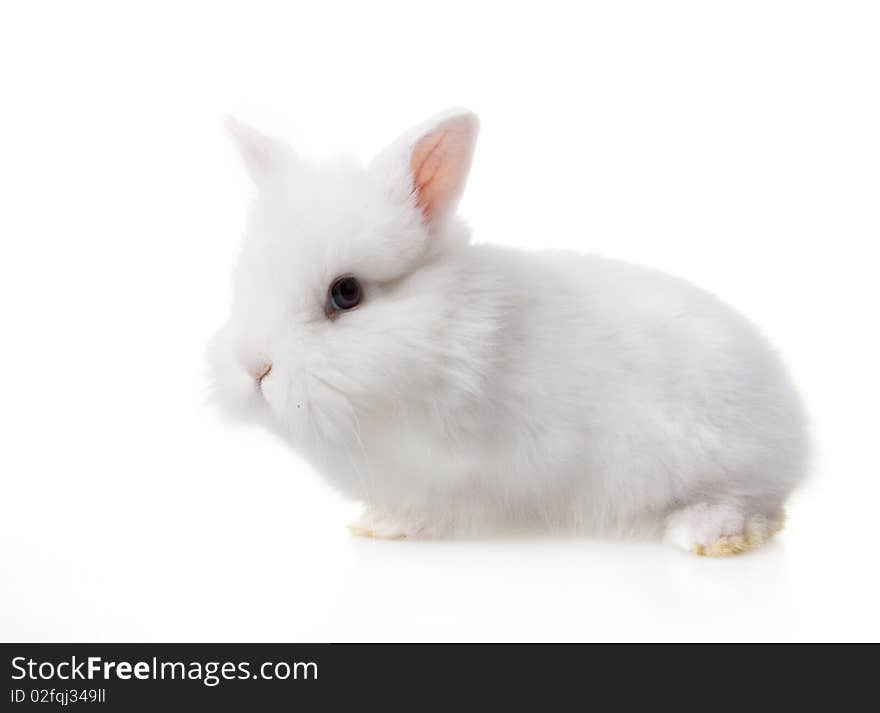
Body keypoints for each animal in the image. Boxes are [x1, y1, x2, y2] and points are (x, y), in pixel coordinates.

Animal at [210, 110, 808, 556]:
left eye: (346, 293)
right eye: (243, 281)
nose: (255, 368)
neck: (445, 334)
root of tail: (796, 432)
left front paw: (394, 526)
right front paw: (376, 522)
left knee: (755, 502)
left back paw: (706, 533)